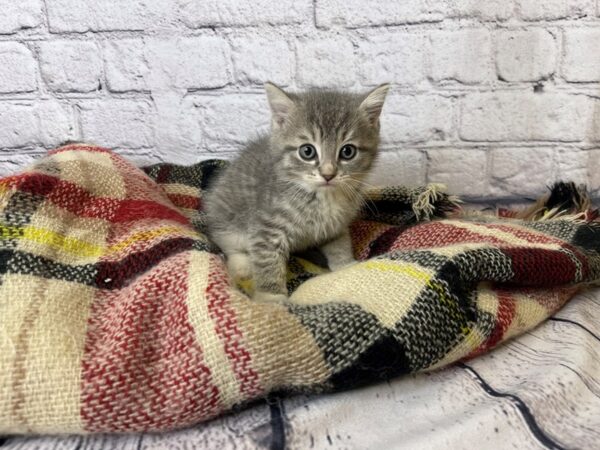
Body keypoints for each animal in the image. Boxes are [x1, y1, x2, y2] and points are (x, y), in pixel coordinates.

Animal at [204, 83, 392, 304]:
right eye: (307, 151)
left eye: (348, 152)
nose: (328, 174)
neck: (321, 198)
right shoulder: (267, 228)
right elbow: (267, 261)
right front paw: (270, 297)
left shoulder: (336, 225)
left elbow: (340, 244)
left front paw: (345, 266)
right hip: (227, 218)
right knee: (227, 243)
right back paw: (242, 266)